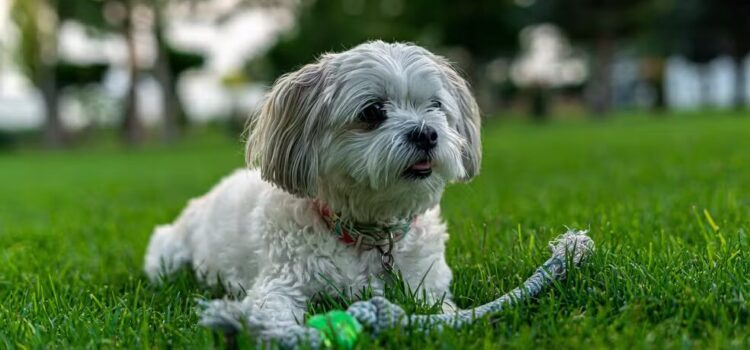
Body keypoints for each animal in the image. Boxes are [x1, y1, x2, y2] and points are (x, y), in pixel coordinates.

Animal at [143, 41, 482, 340]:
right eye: (372, 111)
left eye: (435, 106)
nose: (426, 133)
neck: (368, 235)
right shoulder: (280, 283)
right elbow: (270, 313)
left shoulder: (427, 283)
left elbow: (442, 309)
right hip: (167, 254)